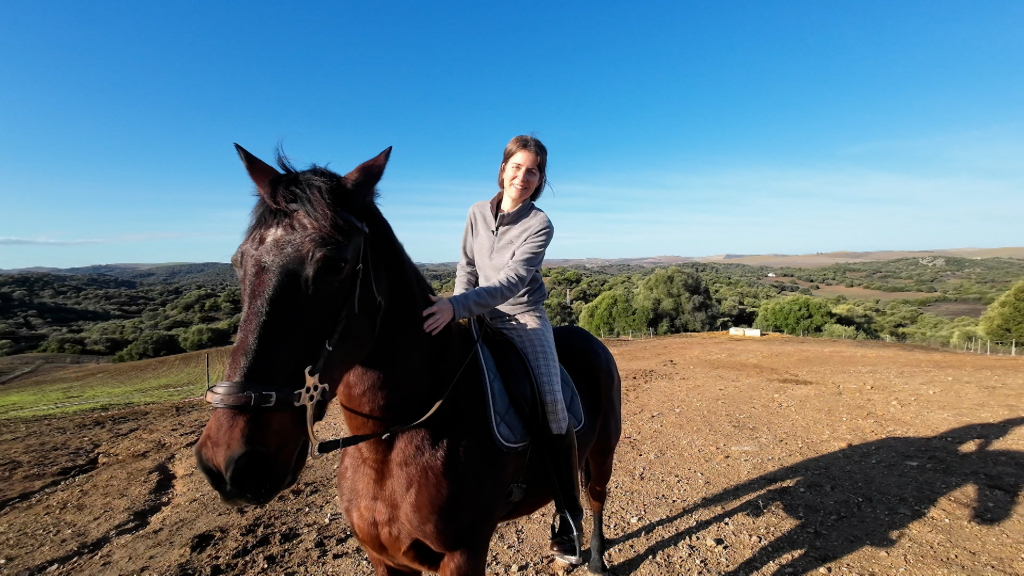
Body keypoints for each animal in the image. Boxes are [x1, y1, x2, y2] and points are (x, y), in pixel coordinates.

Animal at [194, 145, 622, 575]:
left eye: (335, 264)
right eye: (239, 261)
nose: (232, 463)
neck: (389, 441)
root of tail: (590, 340)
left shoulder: (464, 553)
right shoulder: (383, 556)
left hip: (602, 451)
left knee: (595, 497)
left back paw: (595, 558)